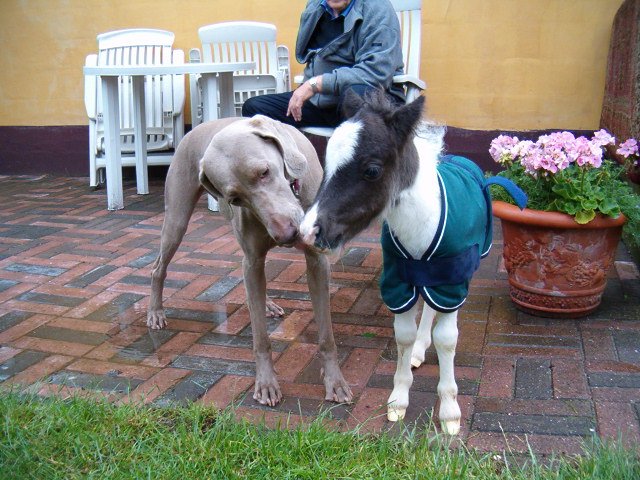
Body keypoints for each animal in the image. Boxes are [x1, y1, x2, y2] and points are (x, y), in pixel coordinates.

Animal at [147, 115, 352, 407]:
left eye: (264, 172)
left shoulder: (316, 262)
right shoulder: (253, 259)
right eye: (235, 197)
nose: (287, 235)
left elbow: (326, 335)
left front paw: (335, 382)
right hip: (177, 218)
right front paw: (266, 383)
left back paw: (267, 303)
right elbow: (260, 338)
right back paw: (155, 312)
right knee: (158, 268)